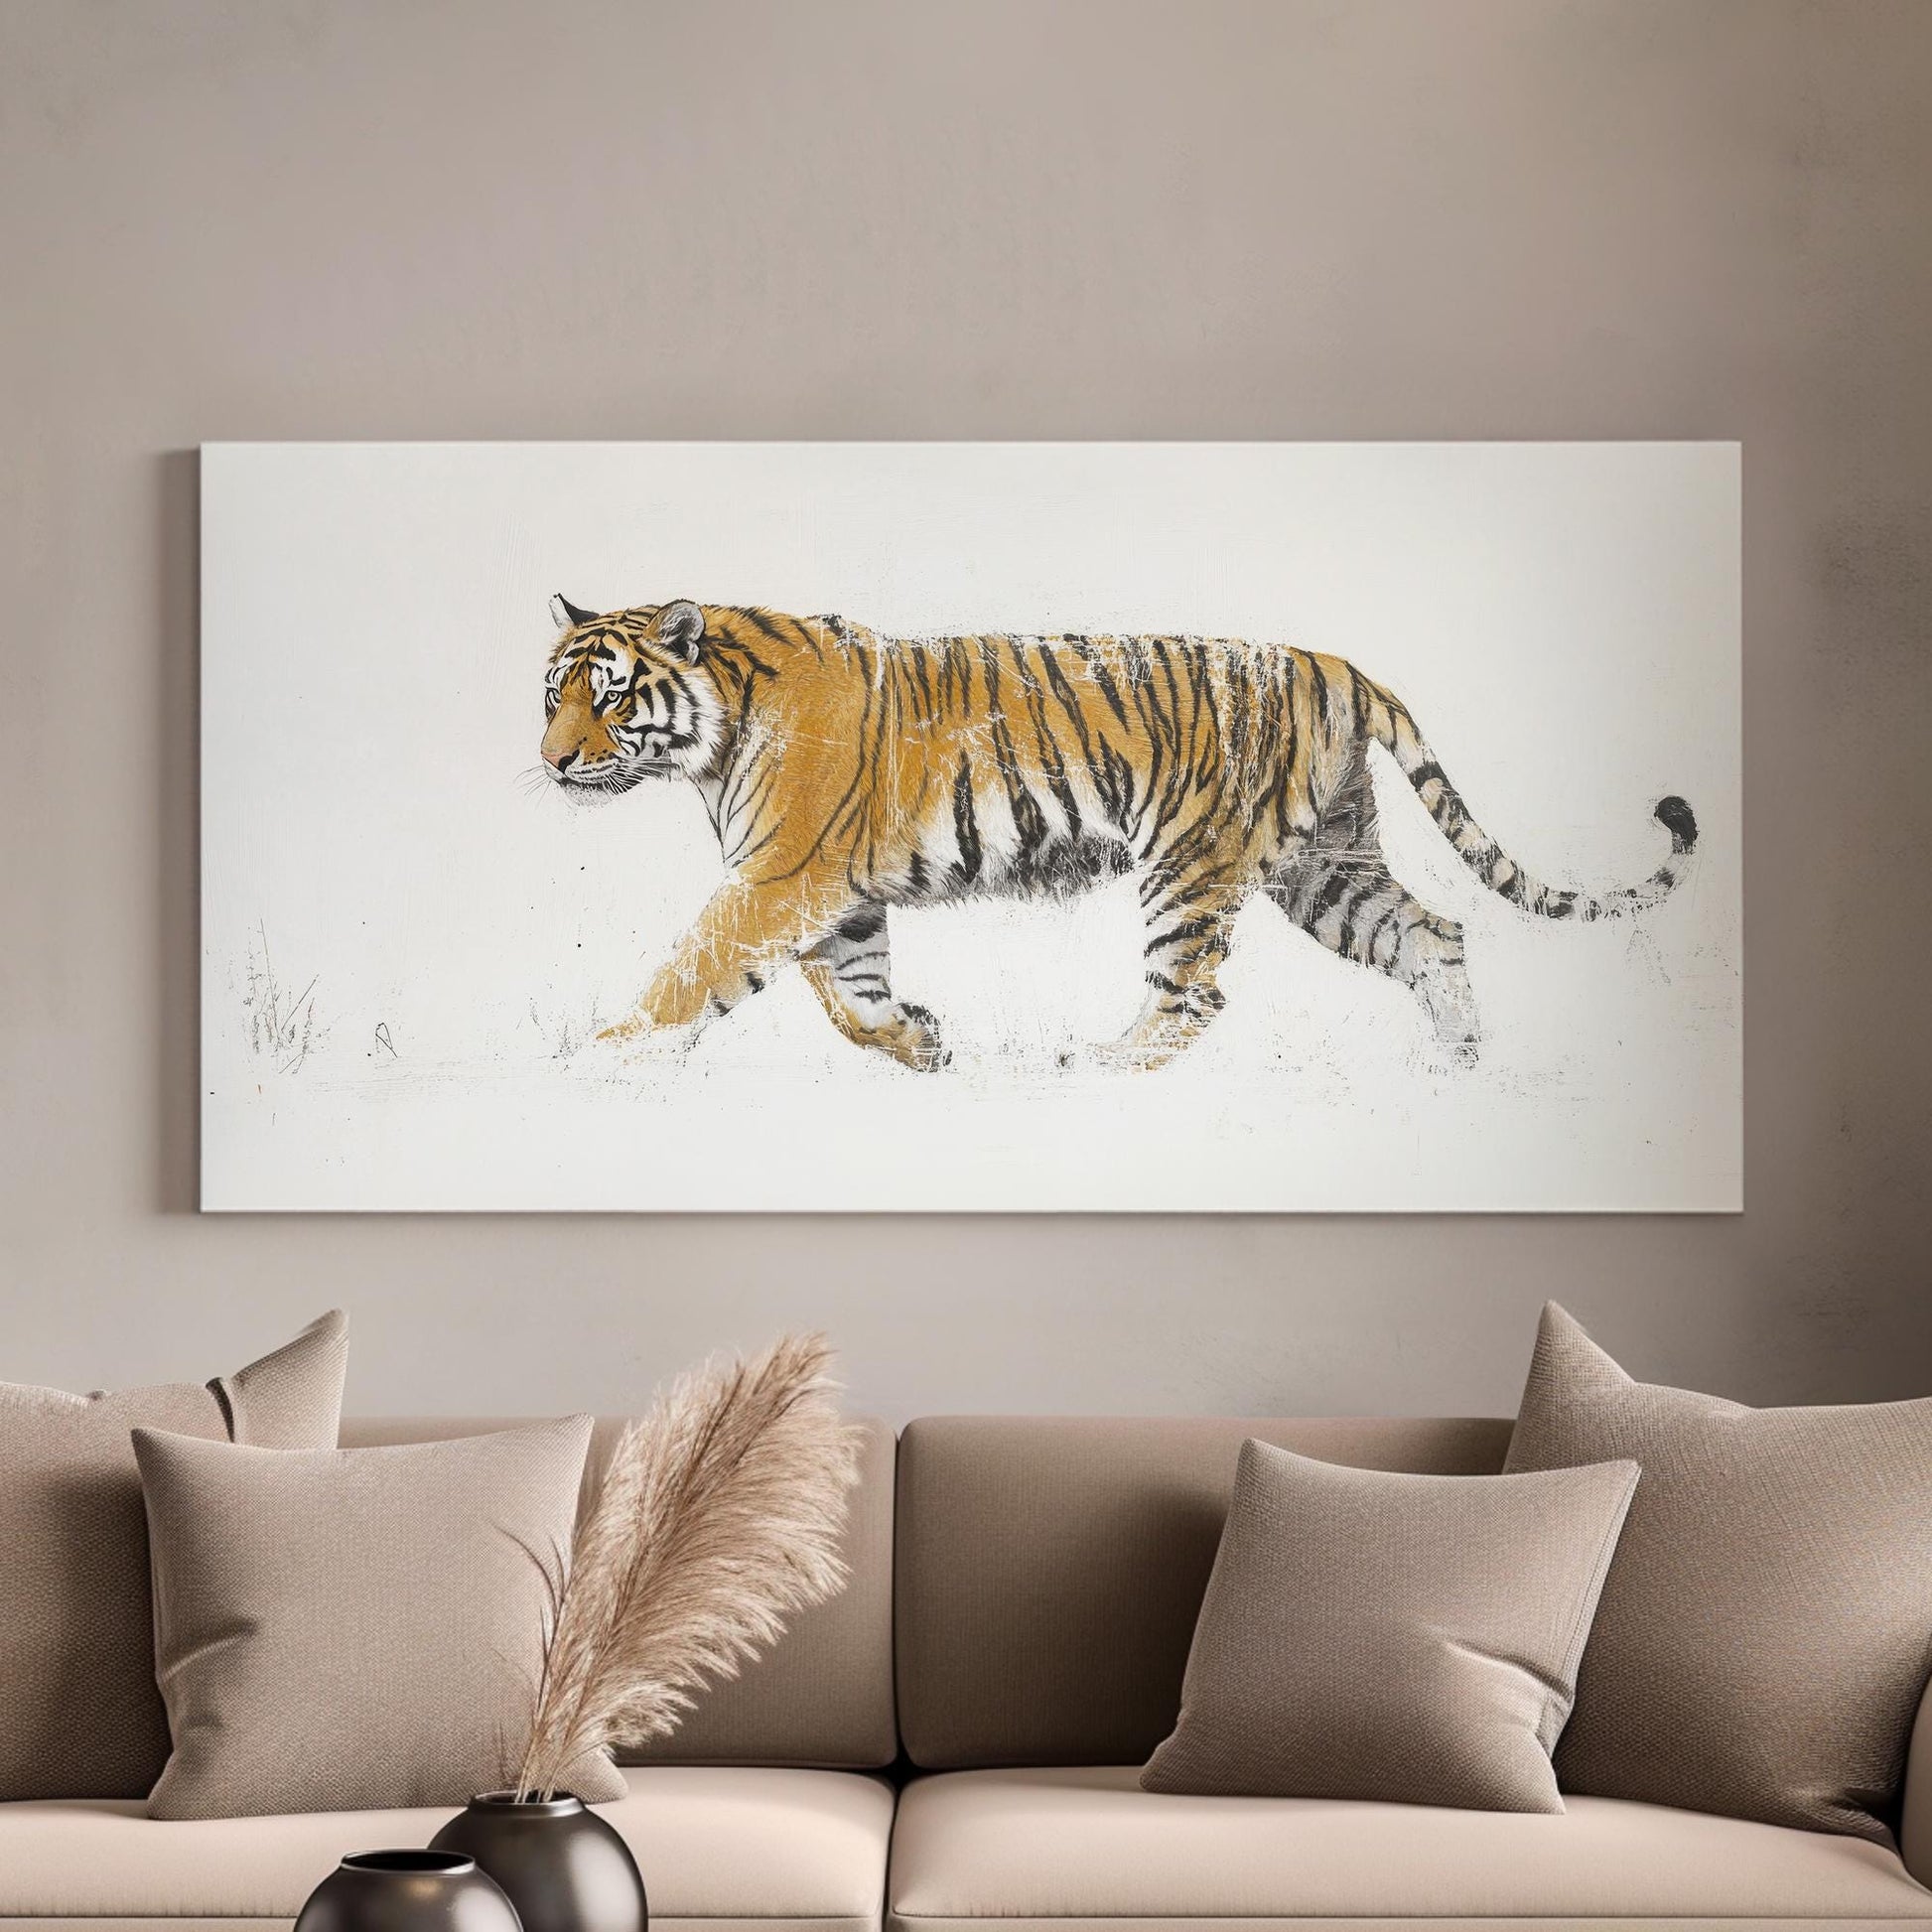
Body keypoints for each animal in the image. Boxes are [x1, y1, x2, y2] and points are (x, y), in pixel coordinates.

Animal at [538, 595, 1698, 1073]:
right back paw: (1456, 1071)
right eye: (551, 693)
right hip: (1325, 865)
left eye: (607, 695)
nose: (550, 761)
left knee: (1192, 997)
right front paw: (921, 1044)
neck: (712, 731)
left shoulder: (782, 875)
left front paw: (600, 1059)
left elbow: (692, 969)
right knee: (1435, 933)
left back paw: (1091, 1064)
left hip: (1192, 862)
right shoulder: (834, 891)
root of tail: (1333, 661)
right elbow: (849, 996)